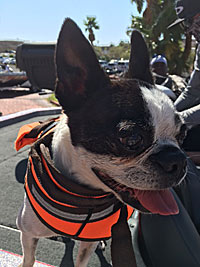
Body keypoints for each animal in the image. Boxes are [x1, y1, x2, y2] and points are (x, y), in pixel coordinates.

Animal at [16, 18, 188, 267]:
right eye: (131, 138)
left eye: (182, 134)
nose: (178, 160)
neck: (82, 197)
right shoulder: (27, 233)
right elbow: (28, 258)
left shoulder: (87, 242)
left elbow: (82, 259)